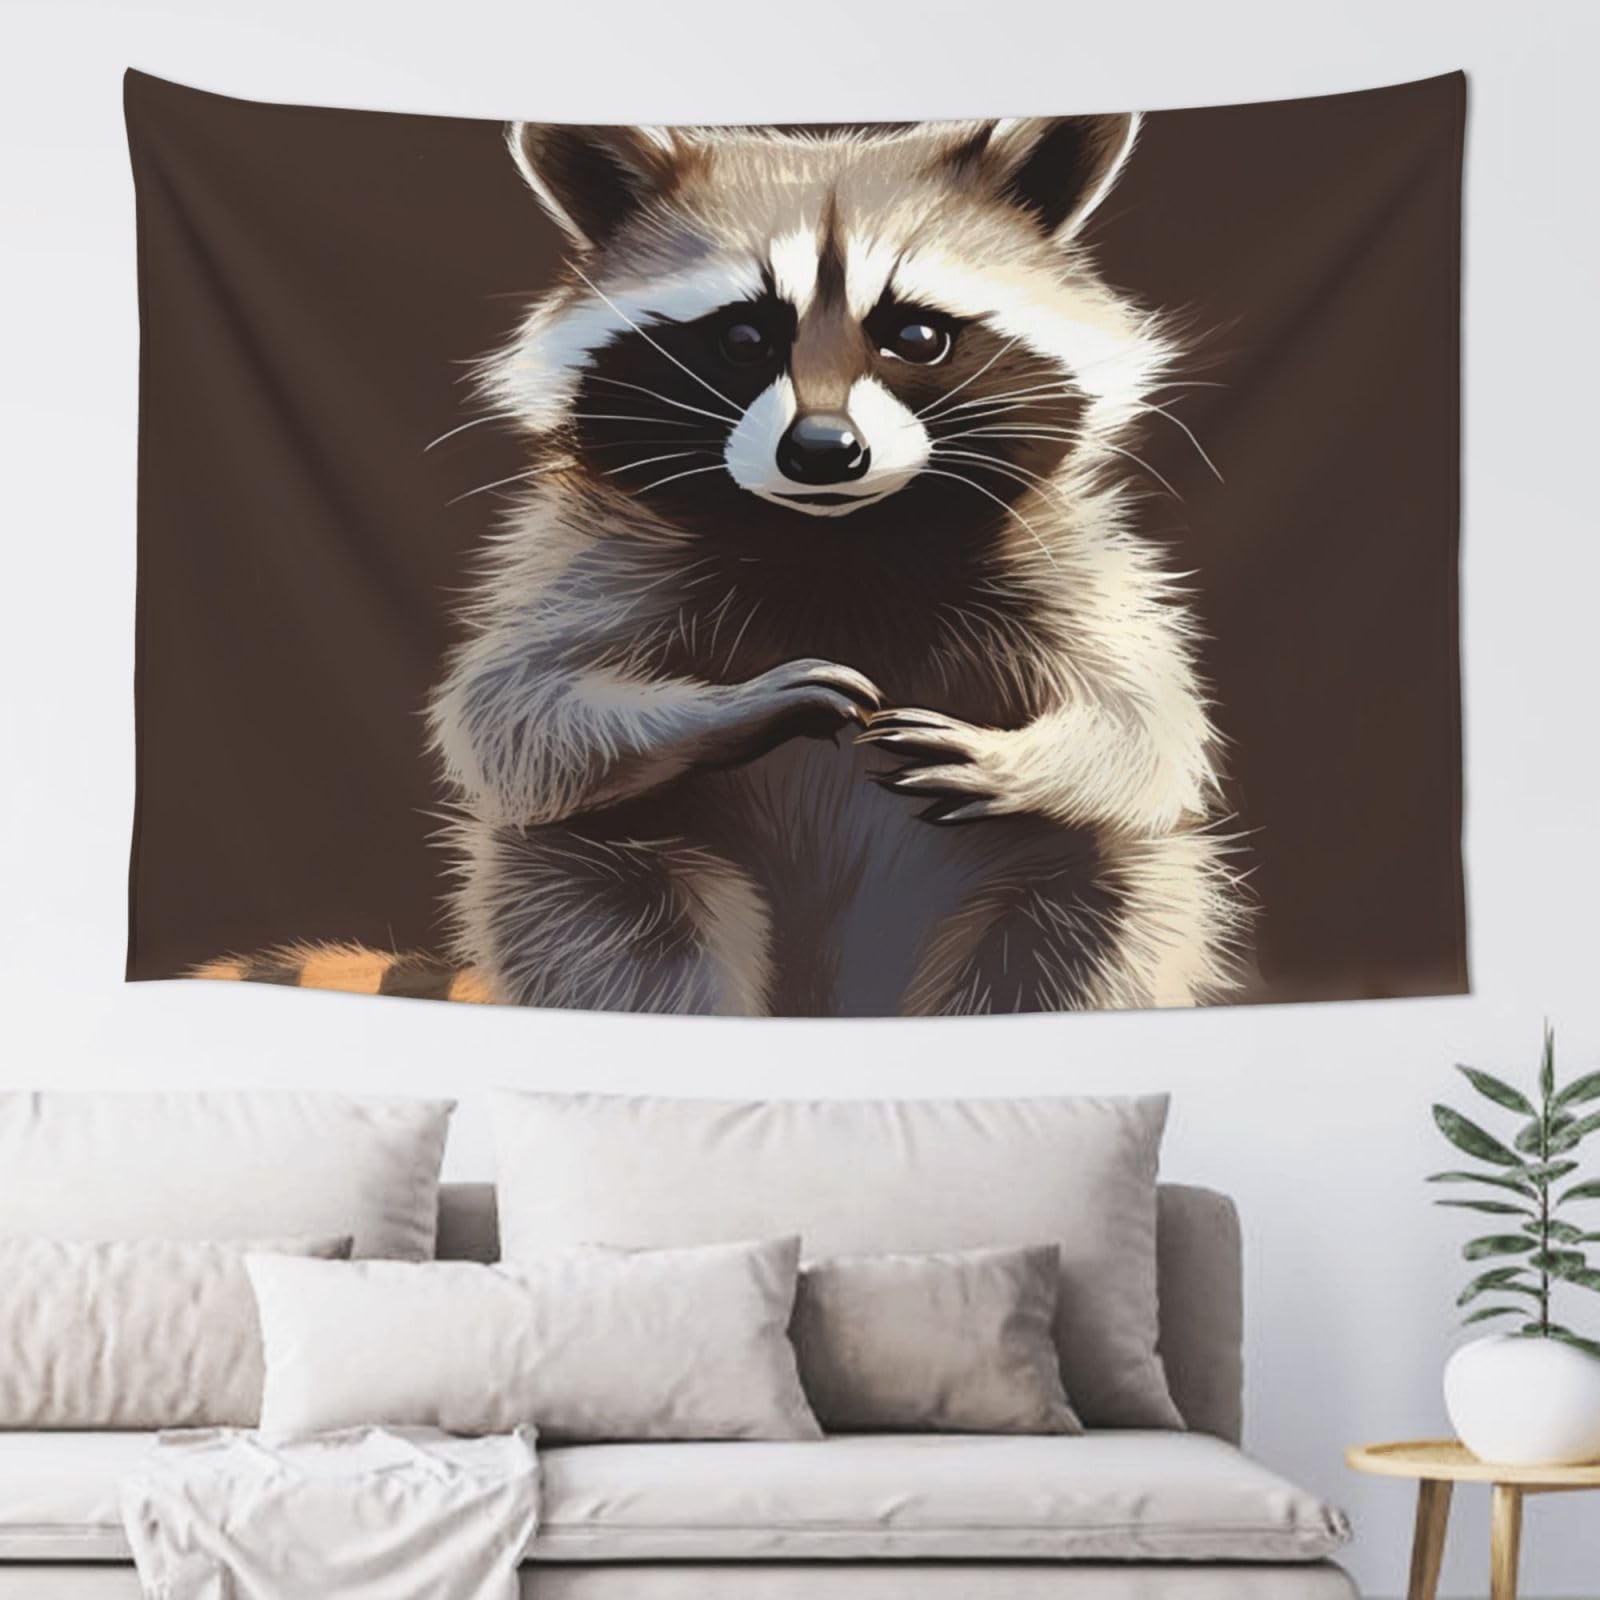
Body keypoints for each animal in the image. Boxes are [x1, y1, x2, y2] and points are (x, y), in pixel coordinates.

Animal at [416, 113, 1243, 1015]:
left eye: (915, 335)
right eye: (743, 338)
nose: (822, 450)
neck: (838, 541)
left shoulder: (1067, 565)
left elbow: (1148, 729)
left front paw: (1019, 762)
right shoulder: (598, 558)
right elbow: (516, 715)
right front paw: (732, 708)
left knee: (1091, 897)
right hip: (614, 877)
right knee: (610, 915)